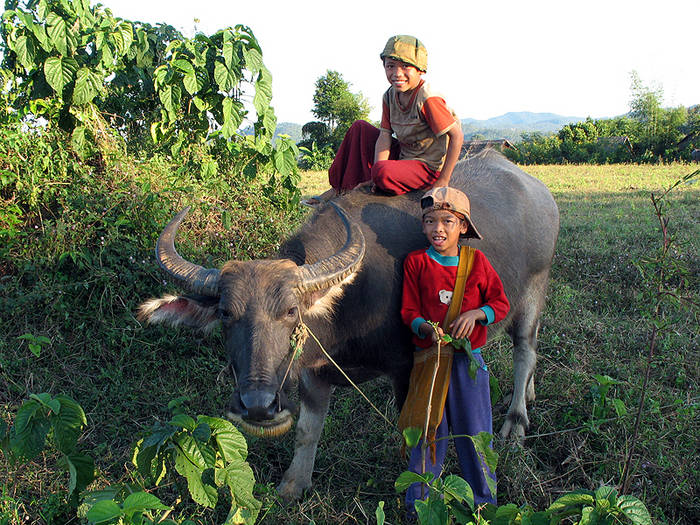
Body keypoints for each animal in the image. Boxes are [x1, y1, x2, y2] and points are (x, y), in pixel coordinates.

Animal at [139, 148, 560, 500]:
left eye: (291, 312)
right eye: (226, 314)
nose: (258, 406)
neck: (348, 307)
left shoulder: (408, 366)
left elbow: (413, 430)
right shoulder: (312, 371)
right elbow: (307, 431)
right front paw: (293, 485)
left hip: (534, 289)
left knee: (525, 350)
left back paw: (515, 423)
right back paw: (527, 395)